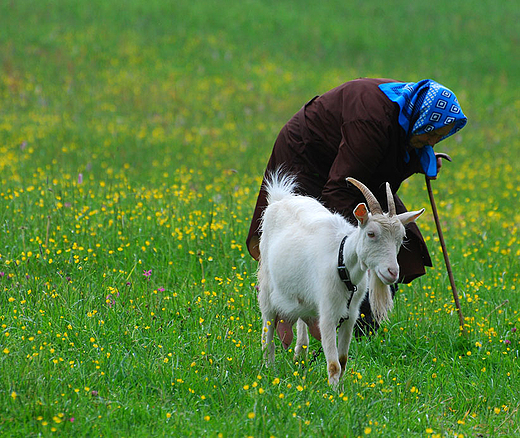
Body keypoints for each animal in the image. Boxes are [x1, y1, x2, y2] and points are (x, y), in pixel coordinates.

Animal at [258, 173, 424, 384]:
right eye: (371, 234)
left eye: (401, 238)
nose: (392, 272)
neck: (342, 261)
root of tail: (280, 200)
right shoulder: (328, 315)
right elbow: (334, 364)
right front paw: (333, 392)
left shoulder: (350, 316)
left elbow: (343, 360)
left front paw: (341, 390)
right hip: (266, 287)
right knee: (267, 332)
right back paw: (269, 371)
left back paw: (300, 357)